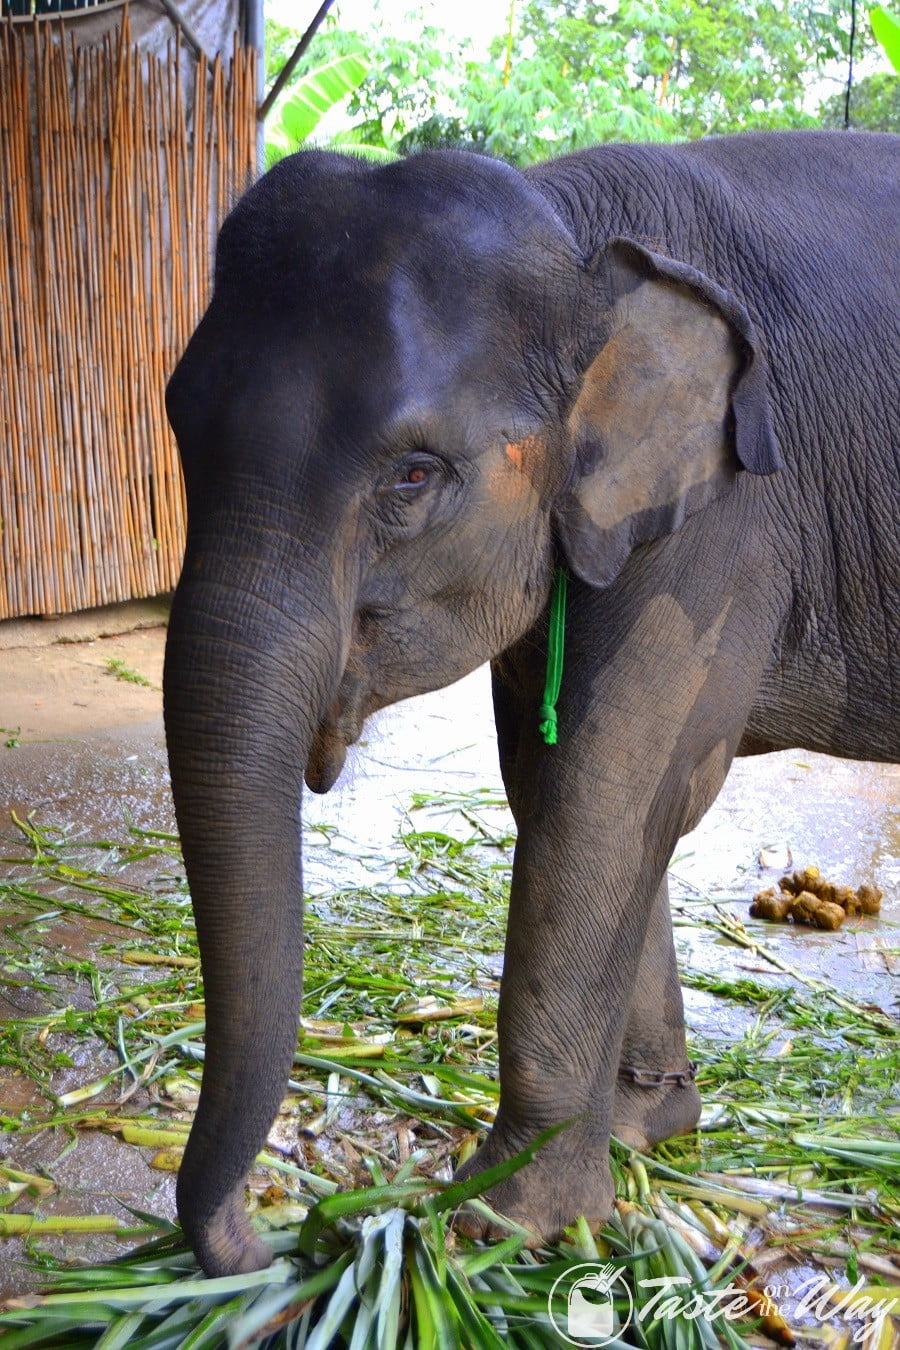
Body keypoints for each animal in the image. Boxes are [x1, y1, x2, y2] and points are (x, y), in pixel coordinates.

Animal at [163, 131, 900, 1279]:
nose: (285, 1237)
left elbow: (609, 796)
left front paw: (499, 1223)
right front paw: (644, 1135)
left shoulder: (733, 517)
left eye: (414, 476)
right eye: (177, 429)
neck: (575, 232)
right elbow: (557, 788)